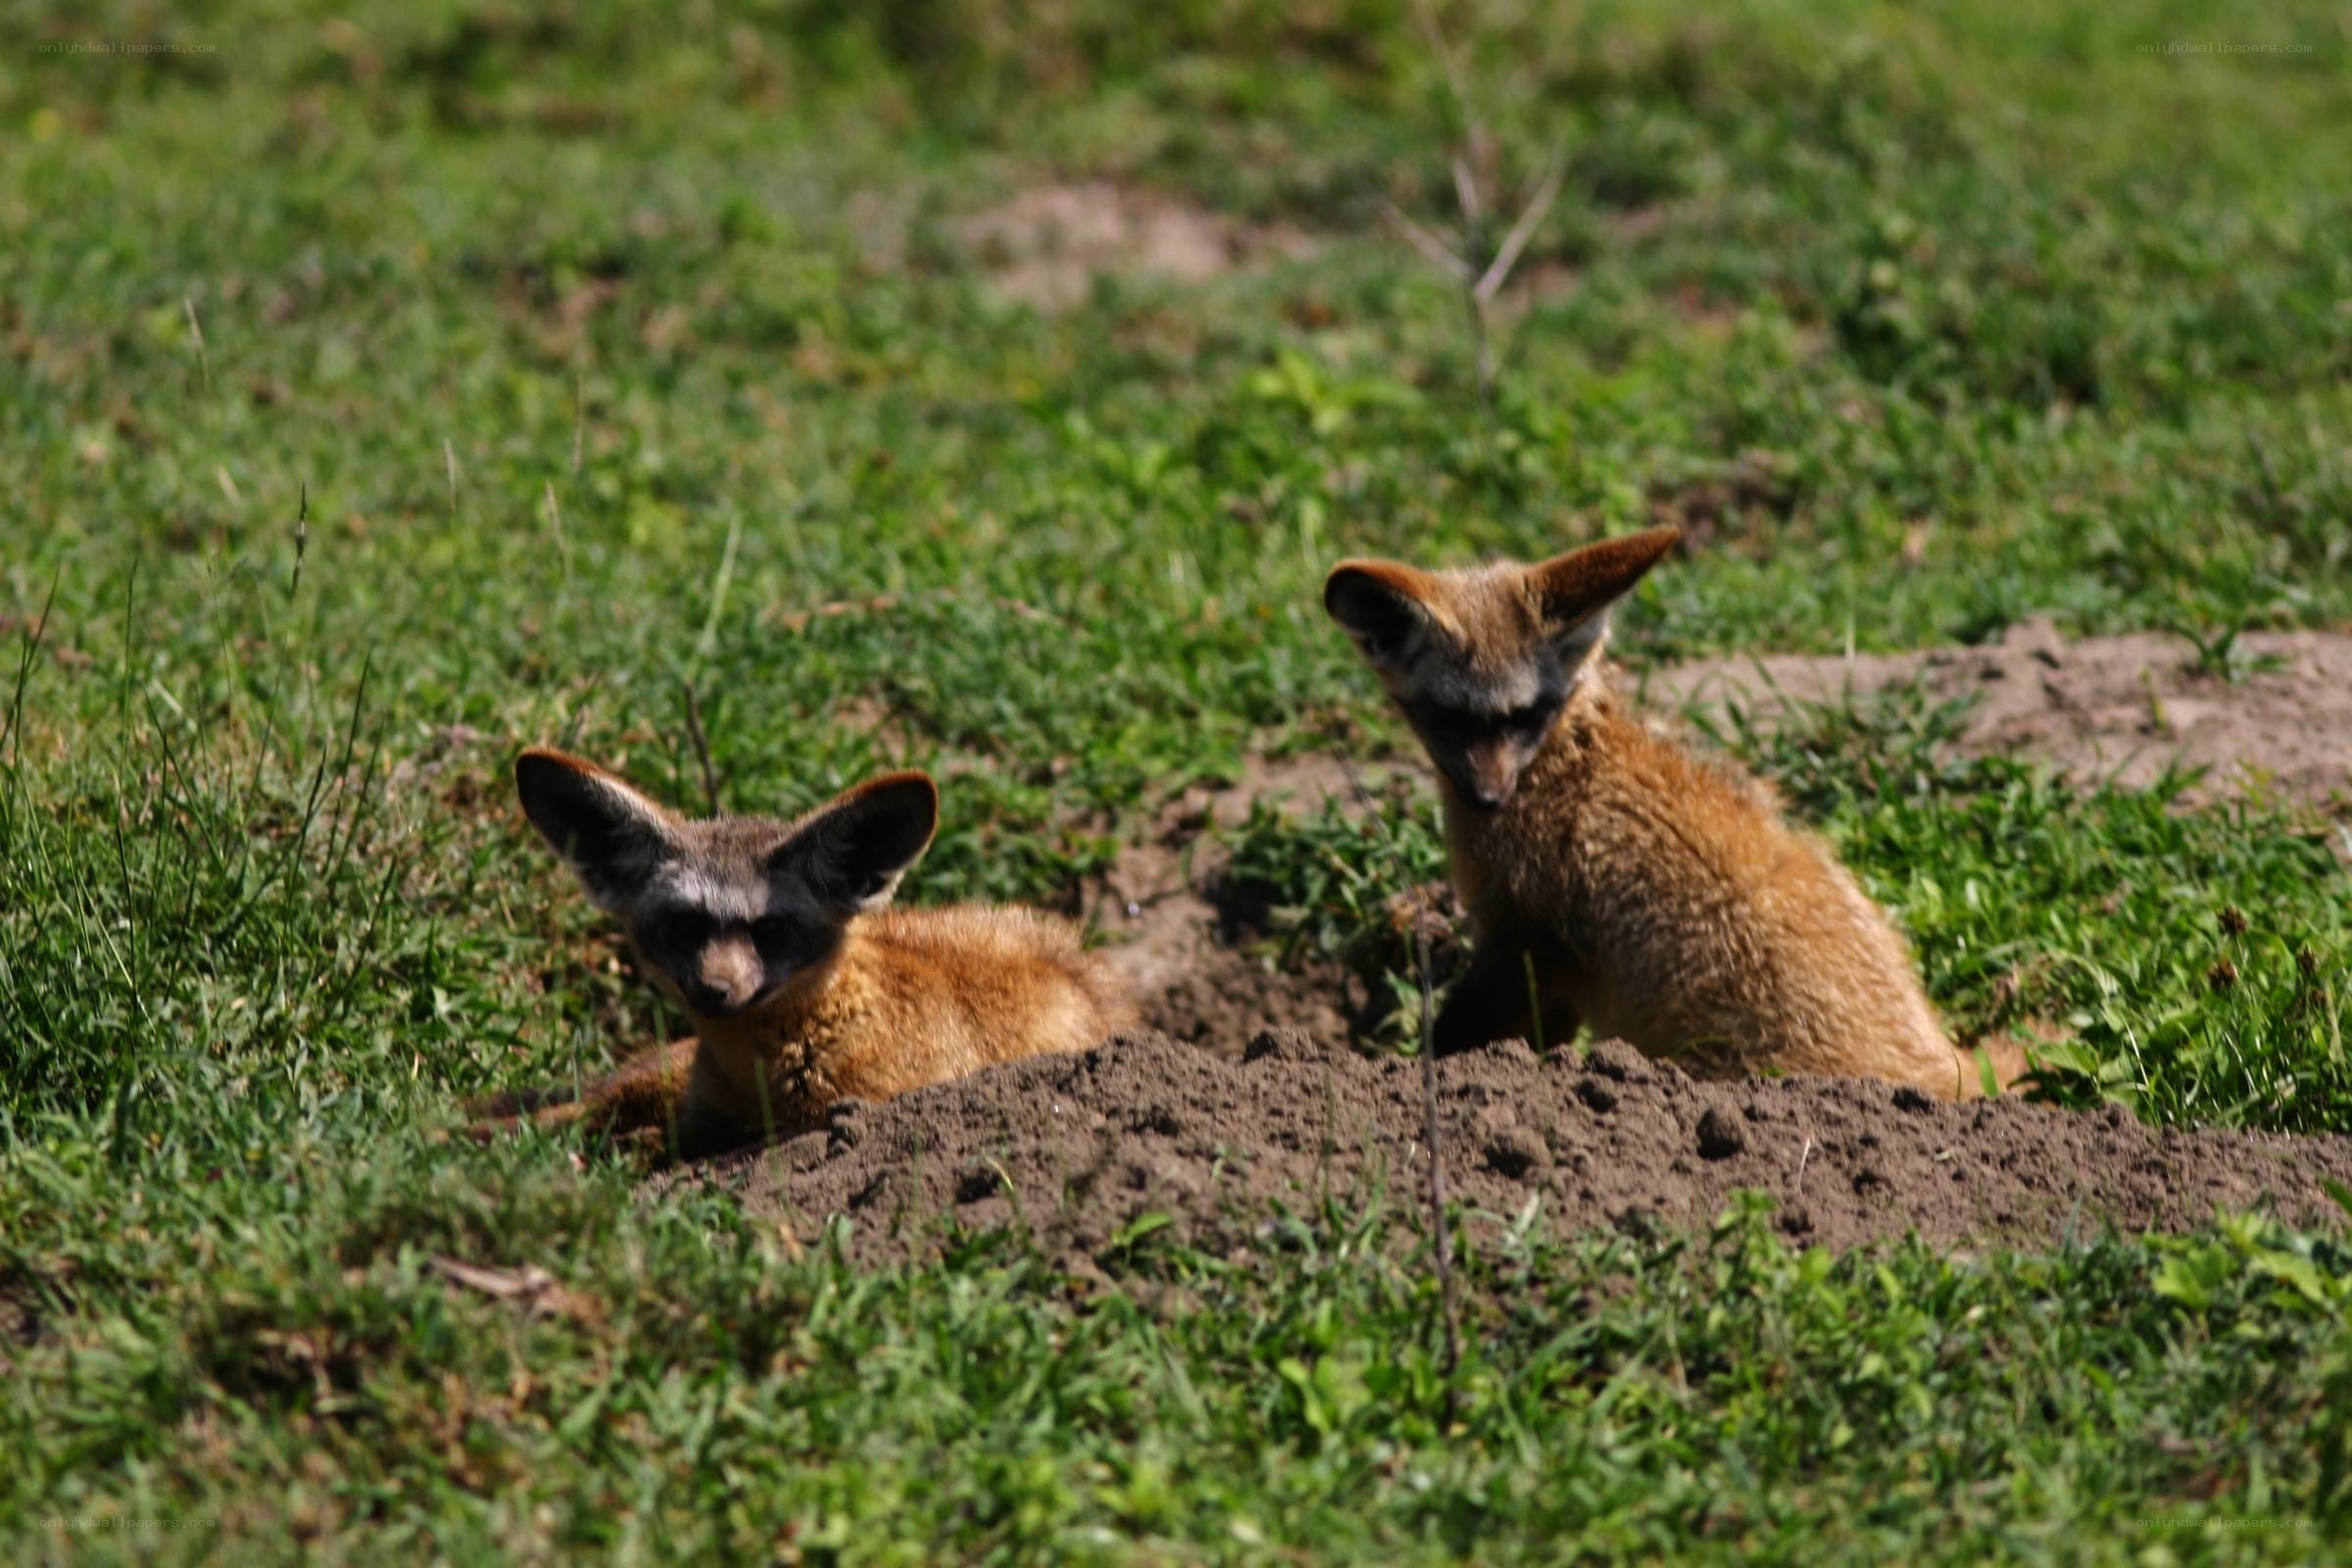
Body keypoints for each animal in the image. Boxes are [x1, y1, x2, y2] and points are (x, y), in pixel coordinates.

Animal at [1325, 525, 2020, 1100]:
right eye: (1449, 717)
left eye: (1523, 716)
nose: (1489, 797)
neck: (1568, 757)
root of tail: (1944, 1069)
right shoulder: (1554, 968)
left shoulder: (1525, 942)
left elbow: (1451, 1037)